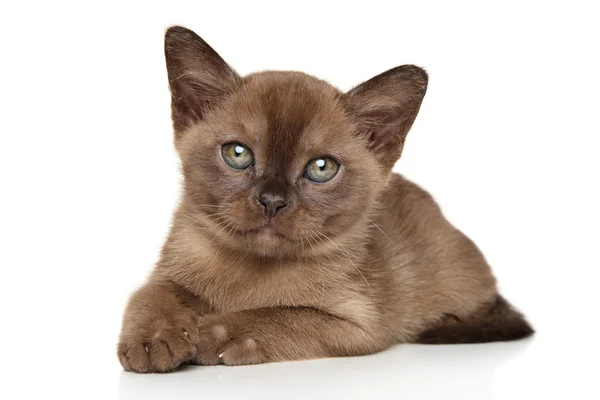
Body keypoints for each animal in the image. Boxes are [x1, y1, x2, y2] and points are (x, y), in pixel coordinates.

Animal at [118, 26, 536, 374]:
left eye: (321, 168)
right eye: (237, 154)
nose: (272, 201)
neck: (251, 272)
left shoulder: (358, 325)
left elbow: (274, 315)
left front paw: (208, 333)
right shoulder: (169, 274)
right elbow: (149, 295)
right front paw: (153, 340)